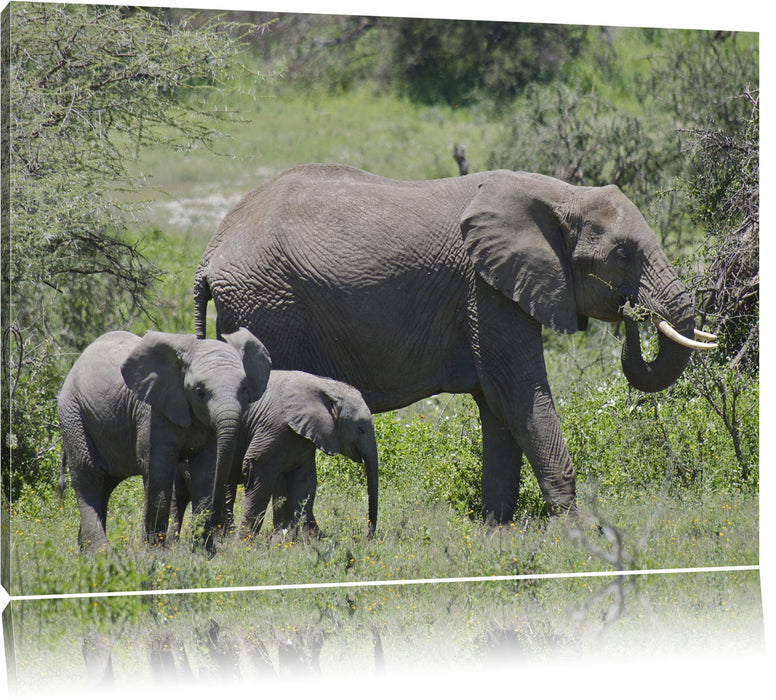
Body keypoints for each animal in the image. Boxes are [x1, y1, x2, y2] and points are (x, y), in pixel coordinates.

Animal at [174, 370, 384, 540]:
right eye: (361, 428)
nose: (368, 536)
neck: (324, 385)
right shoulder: (273, 428)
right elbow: (259, 477)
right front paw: (244, 544)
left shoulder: (301, 437)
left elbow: (305, 482)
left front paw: (311, 540)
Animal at [192, 164, 716, 524]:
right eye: (622, 254)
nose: (632, 314)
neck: (559, 193)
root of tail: (210, 250)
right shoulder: (485, 289)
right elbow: (521, 394)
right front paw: (576, 536)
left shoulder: (491, 291)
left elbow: (500, 408)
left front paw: (496, 534)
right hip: (268, 305)